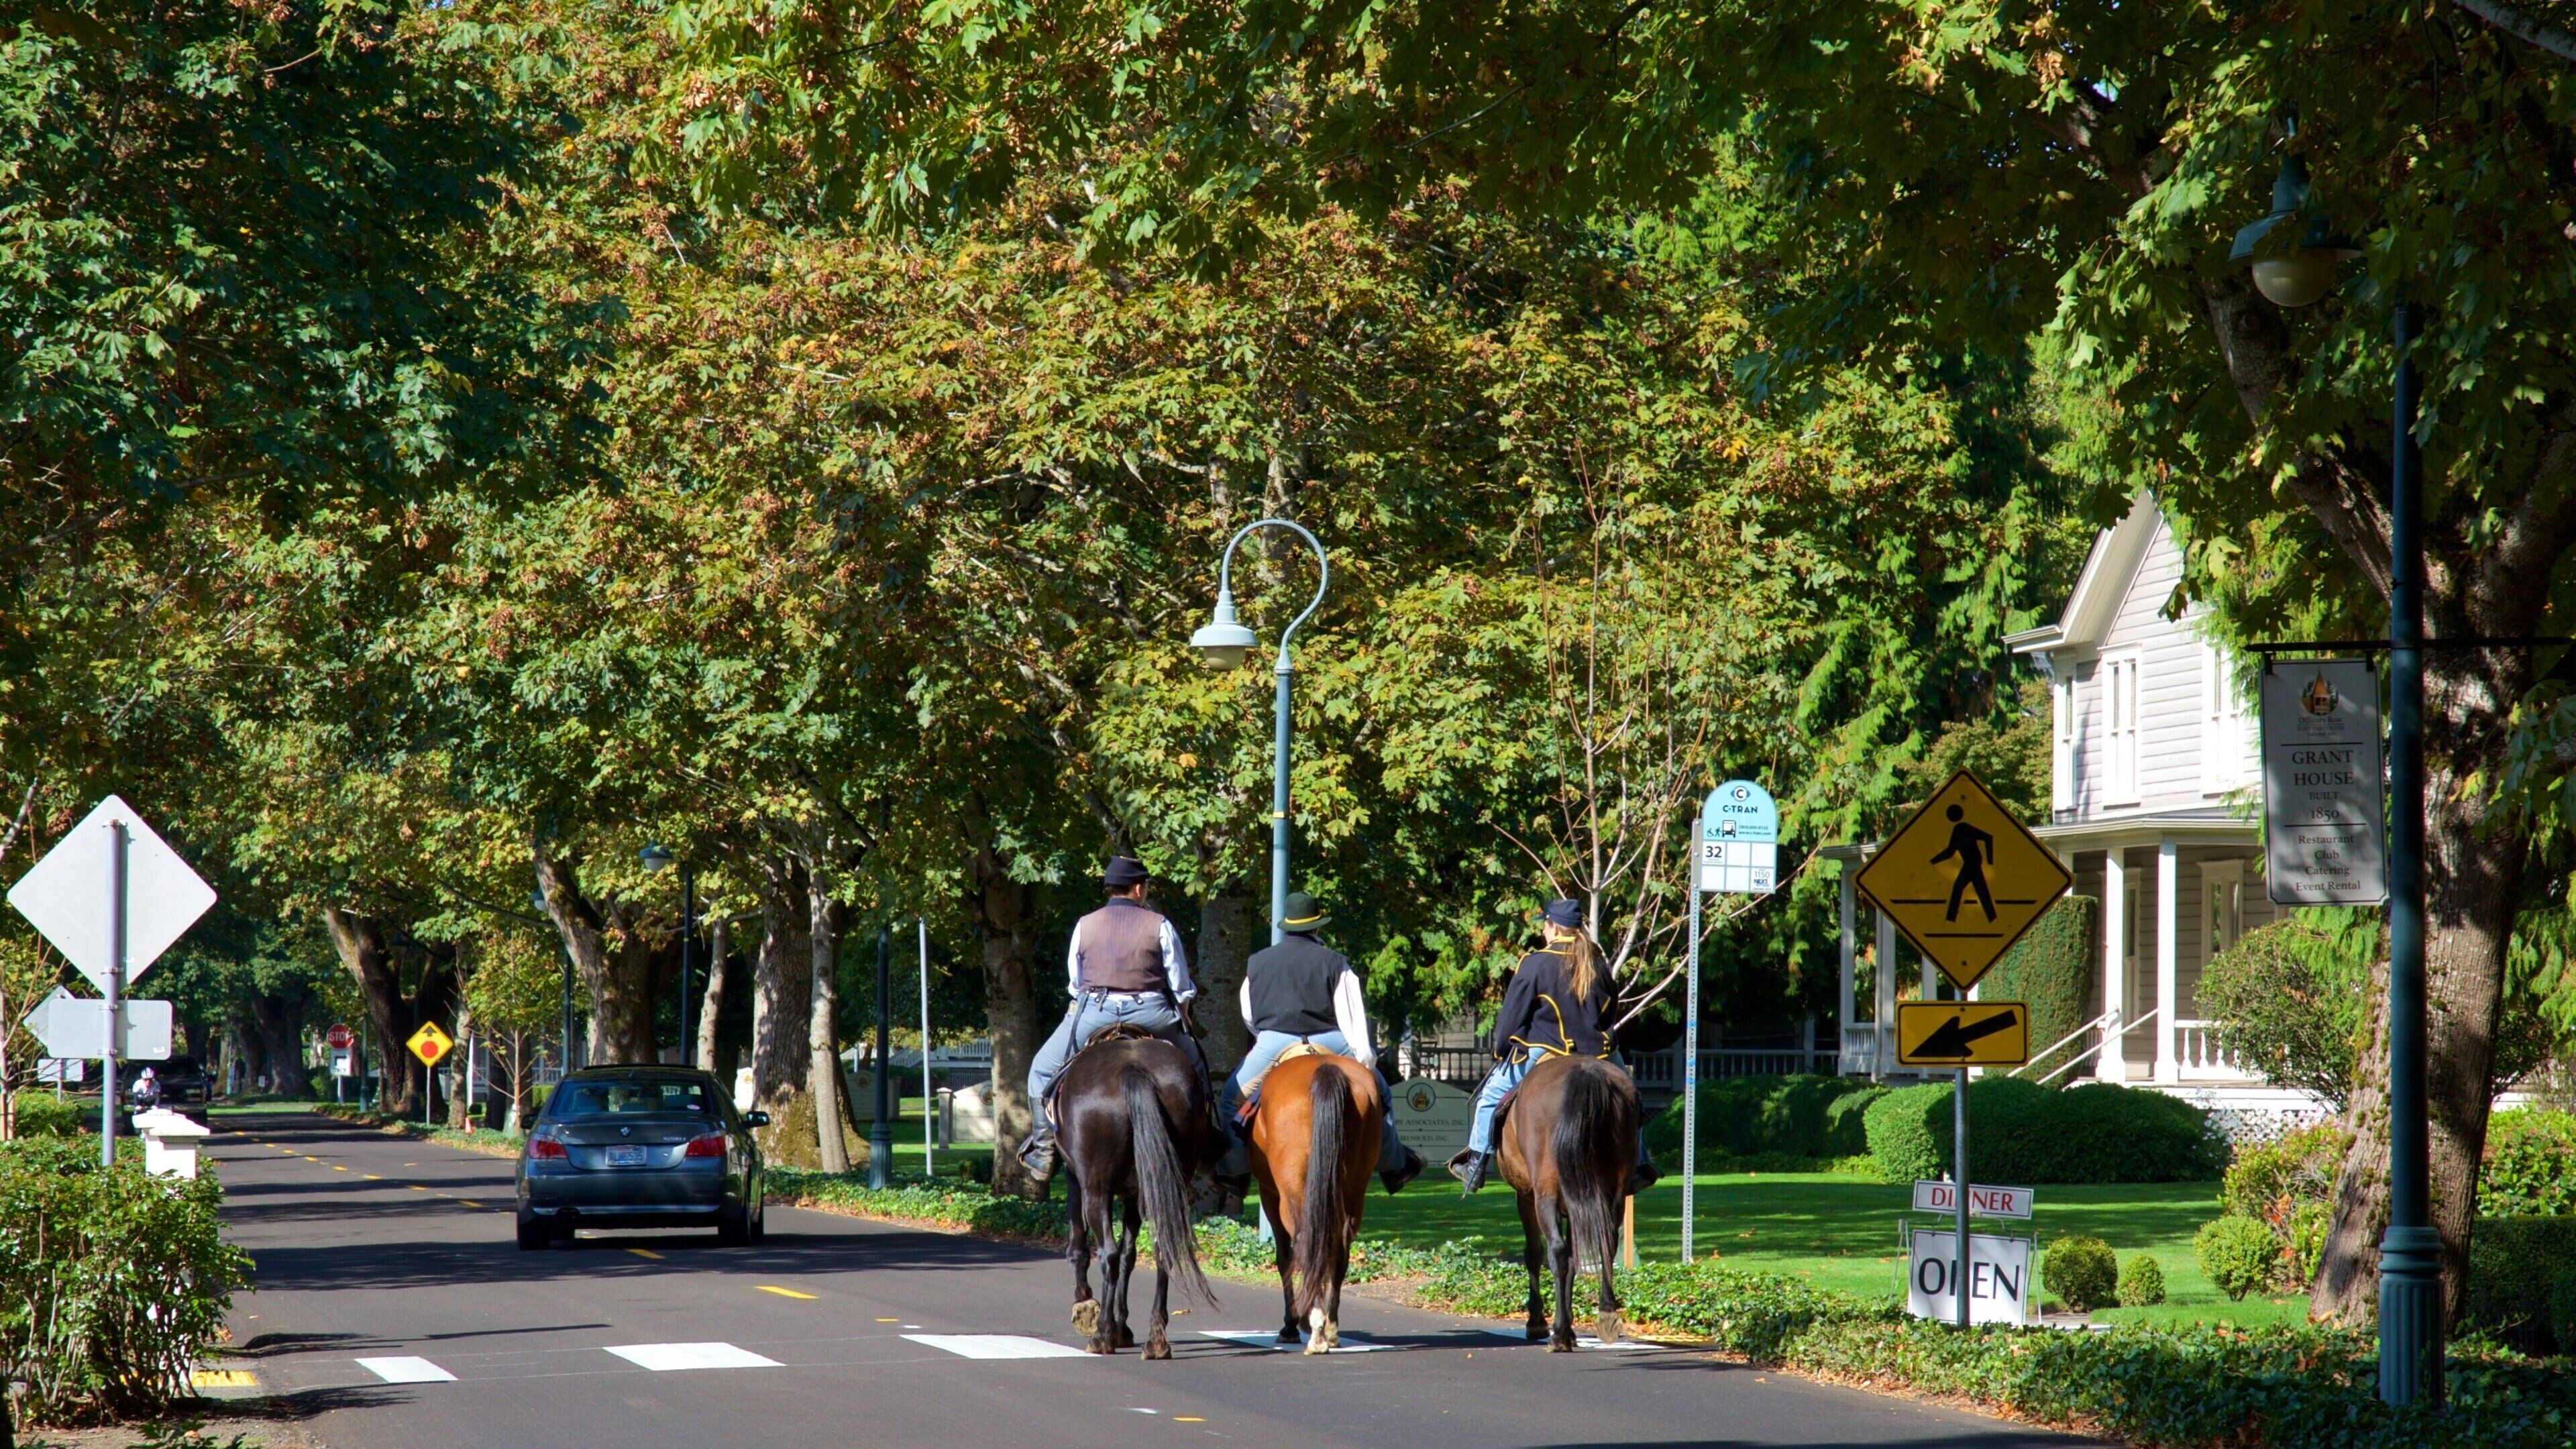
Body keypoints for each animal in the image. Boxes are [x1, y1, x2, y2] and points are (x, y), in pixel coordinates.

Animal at [1056, 1032, 1220, 1357]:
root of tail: (1133, 1069)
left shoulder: (1075, 1178)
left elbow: (1080, 1245)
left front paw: (1086, 1307)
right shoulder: (1134, 1196)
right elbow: (1129, 1255)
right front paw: (1123, 1327)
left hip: (1096, 1188)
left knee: (1107, 1252)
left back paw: (1102, 1335)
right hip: (1164, 1184)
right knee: (1162, 1251)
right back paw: (1156, 1339)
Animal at [1246, 1050, 1382, 1354]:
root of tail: (1325, 1070)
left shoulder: (1269, 1194)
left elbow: (1284, 1257)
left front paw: (1292, 1324)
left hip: (1291, 1196)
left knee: (1305, 1243)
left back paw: (1315, 1330)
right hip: (1354, 1192)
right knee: (1339, 1247)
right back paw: (1329, 1328)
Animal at [1494, 1052, 1643, 1350]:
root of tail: (1587, 1073)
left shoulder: (1526, 1196)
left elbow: (1535, 1253)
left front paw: (1540, 1322)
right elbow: (1576, 1258)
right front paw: (1570, 1327)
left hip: (1545, 1194)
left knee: (1556, 1250)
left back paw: (1559, 1335)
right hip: (1614, 1191)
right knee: (1606, 1243)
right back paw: (1607, 1315)